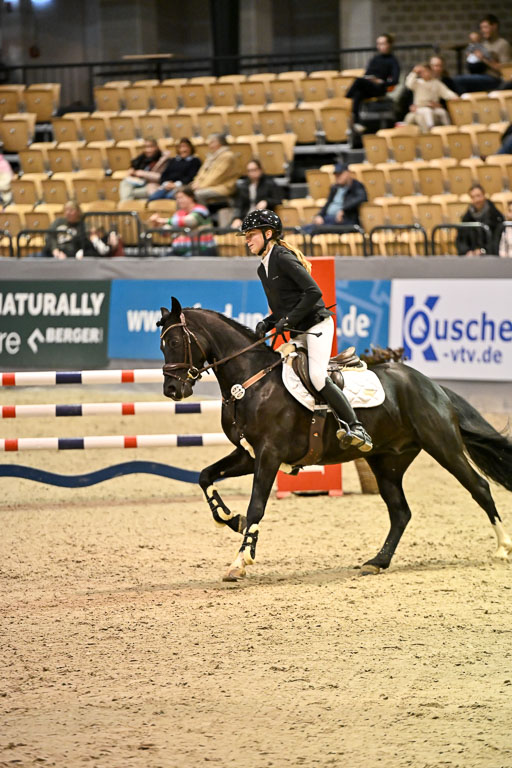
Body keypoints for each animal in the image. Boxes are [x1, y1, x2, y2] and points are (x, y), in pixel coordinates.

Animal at [158, 297, 512, 581]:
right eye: (162, 345)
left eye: (175, 341)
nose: (173, 390)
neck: (251, 382)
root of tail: (432, 385)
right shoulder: (248, 455)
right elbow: (206, 477)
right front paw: (231, 519)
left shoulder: (269, 455)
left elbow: (257, 506)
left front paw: (240, 561)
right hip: (387, 462)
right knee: (401, 512)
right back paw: (377, 561)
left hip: (443, 446)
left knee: (479, 488)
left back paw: (502, 547)